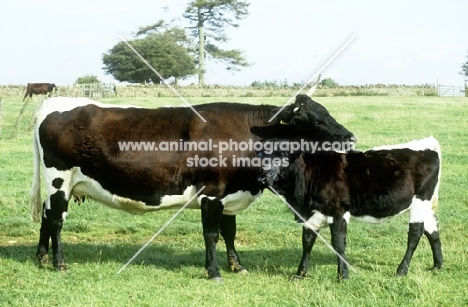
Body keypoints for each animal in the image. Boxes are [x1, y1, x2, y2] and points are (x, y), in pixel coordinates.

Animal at [28, 94, 354, 282]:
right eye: (314, 120)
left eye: (327, 112)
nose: (350, 137)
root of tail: (51, 103)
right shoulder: (211, 192)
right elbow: (211, 235)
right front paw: (214, 272)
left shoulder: (229, 193)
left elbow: (229, 232)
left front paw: (237, 266)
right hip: (59, 177)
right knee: (56, 220)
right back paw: (59, 263)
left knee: (46, 215)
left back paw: (41, 257)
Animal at [260, 137, 442, 282]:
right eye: (261, 156)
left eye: (284, 156)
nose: (263, 178)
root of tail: (429, 144)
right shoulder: (310, 215)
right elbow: (307, 242)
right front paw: (300, 274)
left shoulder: (338, 212)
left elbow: (338, 244)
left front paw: (343, 276)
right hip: (426, 206)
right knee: (432, 230)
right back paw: (437, 265)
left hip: (421, 201)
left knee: (415, 234)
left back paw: (402, 270)